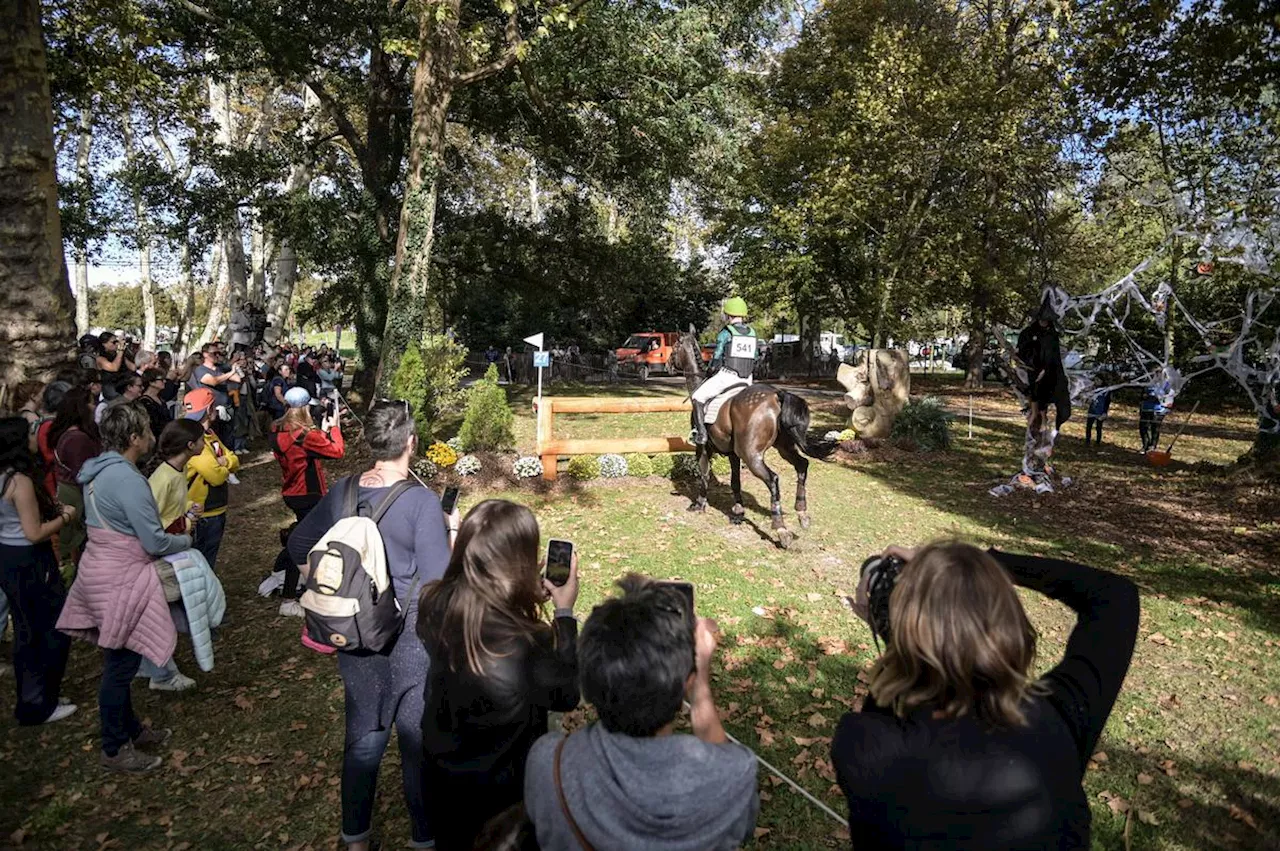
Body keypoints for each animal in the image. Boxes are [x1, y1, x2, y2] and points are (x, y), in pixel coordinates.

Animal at [665, 327, 834, 547]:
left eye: (675, 347)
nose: (667, 365)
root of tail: (777, 395)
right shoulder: (733, 454)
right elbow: (735, 481)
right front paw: (738, 512)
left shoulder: (703, 448)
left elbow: (704, 474)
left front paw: (700, 504)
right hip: (783, 447)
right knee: (802, 465)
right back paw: (802, 513)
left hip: (751, 455)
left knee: (773, 479)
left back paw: (781, 529)